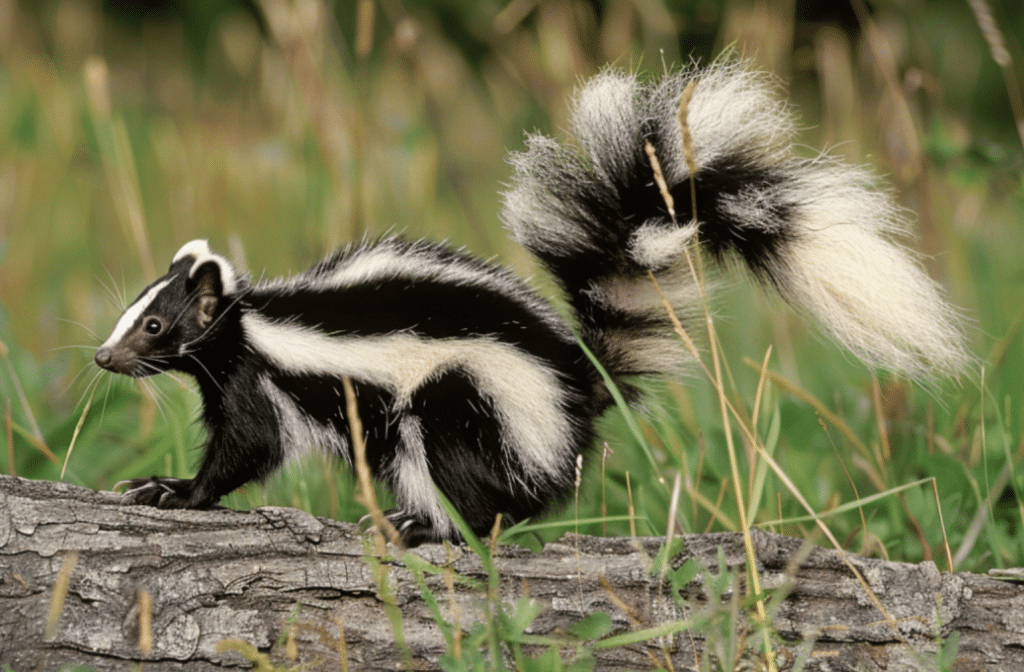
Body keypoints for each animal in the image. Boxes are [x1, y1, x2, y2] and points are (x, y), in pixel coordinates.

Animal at [94, 61, 966, 544]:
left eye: (156, 325)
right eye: (132, 313)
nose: (104, 357)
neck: (248, 325)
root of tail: (576, 376)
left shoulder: (260, 380)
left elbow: (247, 448)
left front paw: (175, 493)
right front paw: (161, 485)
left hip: (469, 399)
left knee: (475, 485)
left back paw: (421, 528)